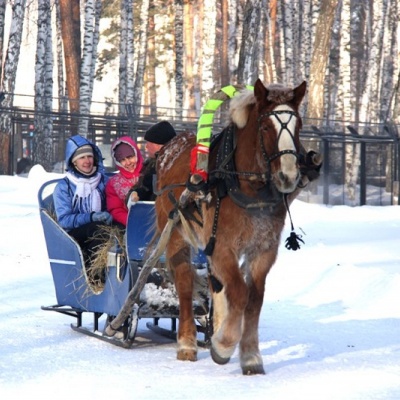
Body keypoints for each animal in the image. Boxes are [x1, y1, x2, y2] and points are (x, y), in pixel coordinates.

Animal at [154, 79, 318, 376]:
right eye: (266, 127)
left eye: (298, 125)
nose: (288, 176)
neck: (246, 187)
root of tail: (168, 150)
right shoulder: (223, 246)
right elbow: (240, 293)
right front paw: (224, 345)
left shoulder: (263, 251)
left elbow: (254, 299)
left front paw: (250, 355)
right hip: (175, 232)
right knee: (185, 282)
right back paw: (187, 343)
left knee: (216, 285)